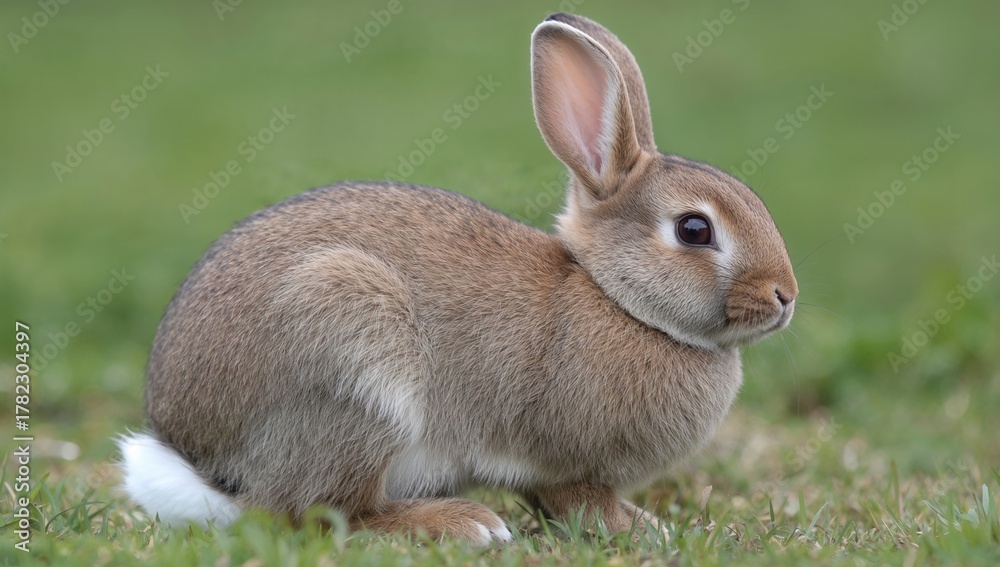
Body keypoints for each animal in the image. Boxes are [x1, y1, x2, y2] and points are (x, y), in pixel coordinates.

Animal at [118, 12, 797, 545]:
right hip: (353, 360)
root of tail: (192, 445)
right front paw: (636, 529)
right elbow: (577, 498)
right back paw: (460, 523)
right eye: (694, 230)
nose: (785, 297)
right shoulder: (563, 465)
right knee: (312, 510)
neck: (618, 299)